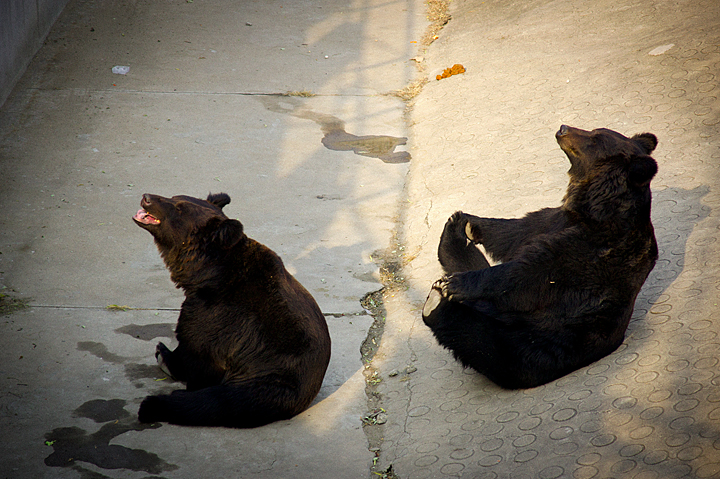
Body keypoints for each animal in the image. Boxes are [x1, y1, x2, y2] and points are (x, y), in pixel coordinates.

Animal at [132, 193, 330, 430]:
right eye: (174, 197)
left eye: (179, 208)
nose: (147, 198)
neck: (204, 275)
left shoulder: (217, 313)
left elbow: (196, 348)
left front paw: (167, 355)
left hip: (267, 380)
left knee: (217, 402)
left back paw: (152, 404)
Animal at [422, 124, 660, 390]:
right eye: (594, 130)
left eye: (595, 137)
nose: (563, 128)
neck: (594, 206)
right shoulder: (554, 220)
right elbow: (513, 232)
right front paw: (464, 222)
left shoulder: (592, 250)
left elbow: (526, 275)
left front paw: (456, 283)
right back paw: (453, 239)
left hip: (535, 346)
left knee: (483, 341)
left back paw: (438, 300)